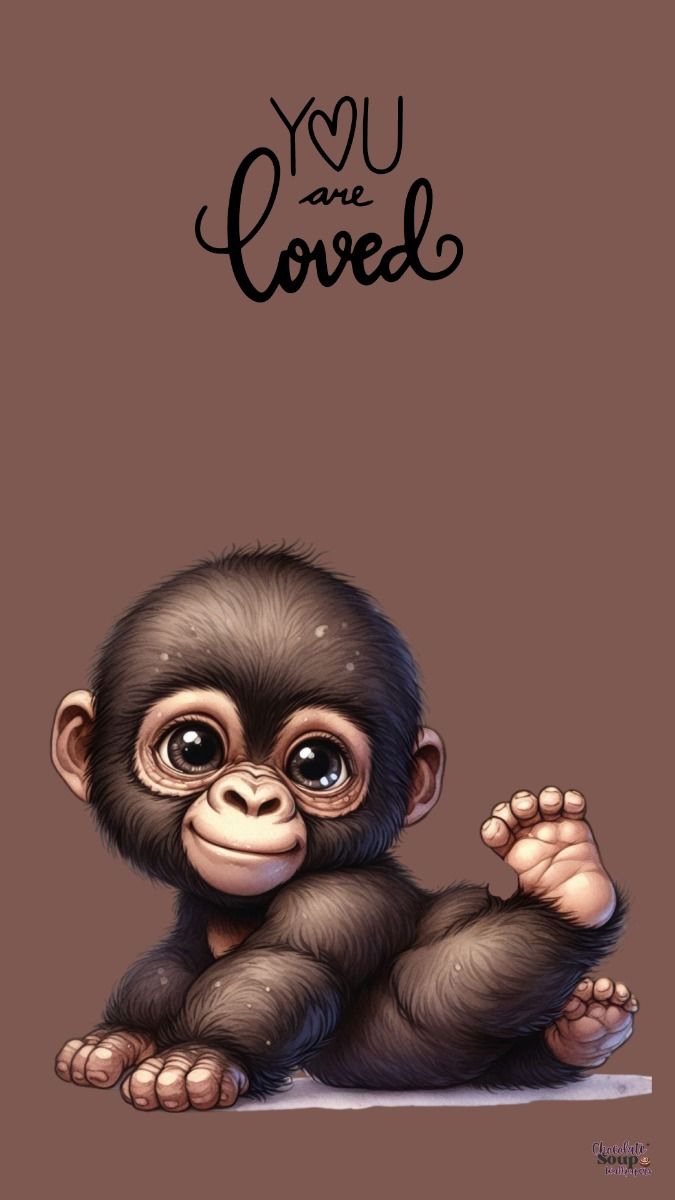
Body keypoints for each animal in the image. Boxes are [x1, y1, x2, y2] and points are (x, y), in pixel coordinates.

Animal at [52, 546, 638, 1111]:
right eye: (194, 748)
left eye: (316, 765)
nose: (254, 798)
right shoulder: (197, 905)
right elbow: (170, 962)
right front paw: (118, 1037)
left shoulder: (346, 897)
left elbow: (287, 963)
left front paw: (201, 1055)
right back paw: (584, 1026)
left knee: (446, 991)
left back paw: (563, 875)